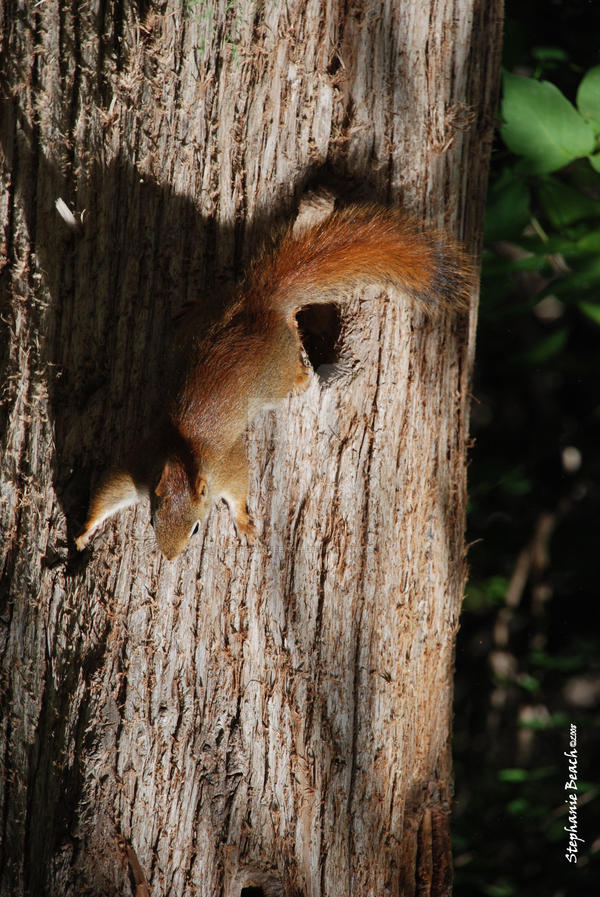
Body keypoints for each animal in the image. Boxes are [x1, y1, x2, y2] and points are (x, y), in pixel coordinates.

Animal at [75, 201, 472, 560]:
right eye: (153, 522)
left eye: (197, 528)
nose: (171, 558)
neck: (181, 455)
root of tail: (262, 303)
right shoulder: (142, 464)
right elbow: (109, 492)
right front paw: (83, 532)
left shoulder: (224, 466)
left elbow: (238, 488)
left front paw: (243, 521)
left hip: (275, 373)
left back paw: (299, 376)